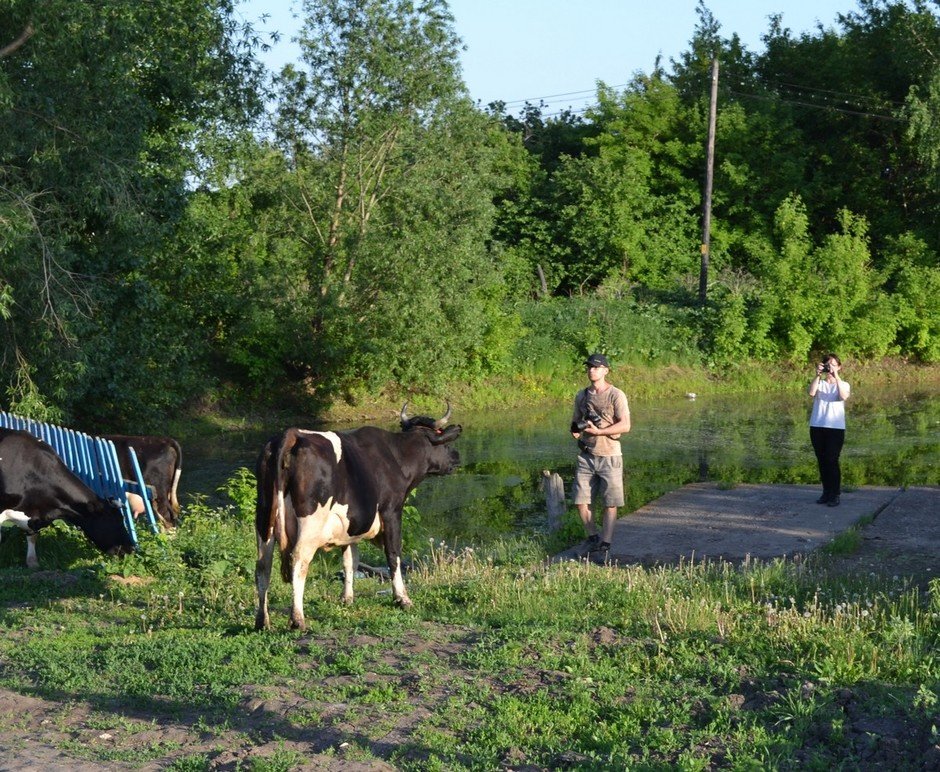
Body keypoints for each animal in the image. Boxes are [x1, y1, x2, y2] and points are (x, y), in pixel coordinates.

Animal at [255, 402, 460, 632]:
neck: (396, 456)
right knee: (299, 561)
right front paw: (402, 598)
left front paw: (347, 598)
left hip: (264, 517)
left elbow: (350, 560)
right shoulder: (392, 511)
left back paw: (262, 621)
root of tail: (291, 434)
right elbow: (393, 554)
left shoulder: (350, 524)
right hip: (310, 523)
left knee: (263, 565)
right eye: (444, 443)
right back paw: (297, 619)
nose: (457, 456)